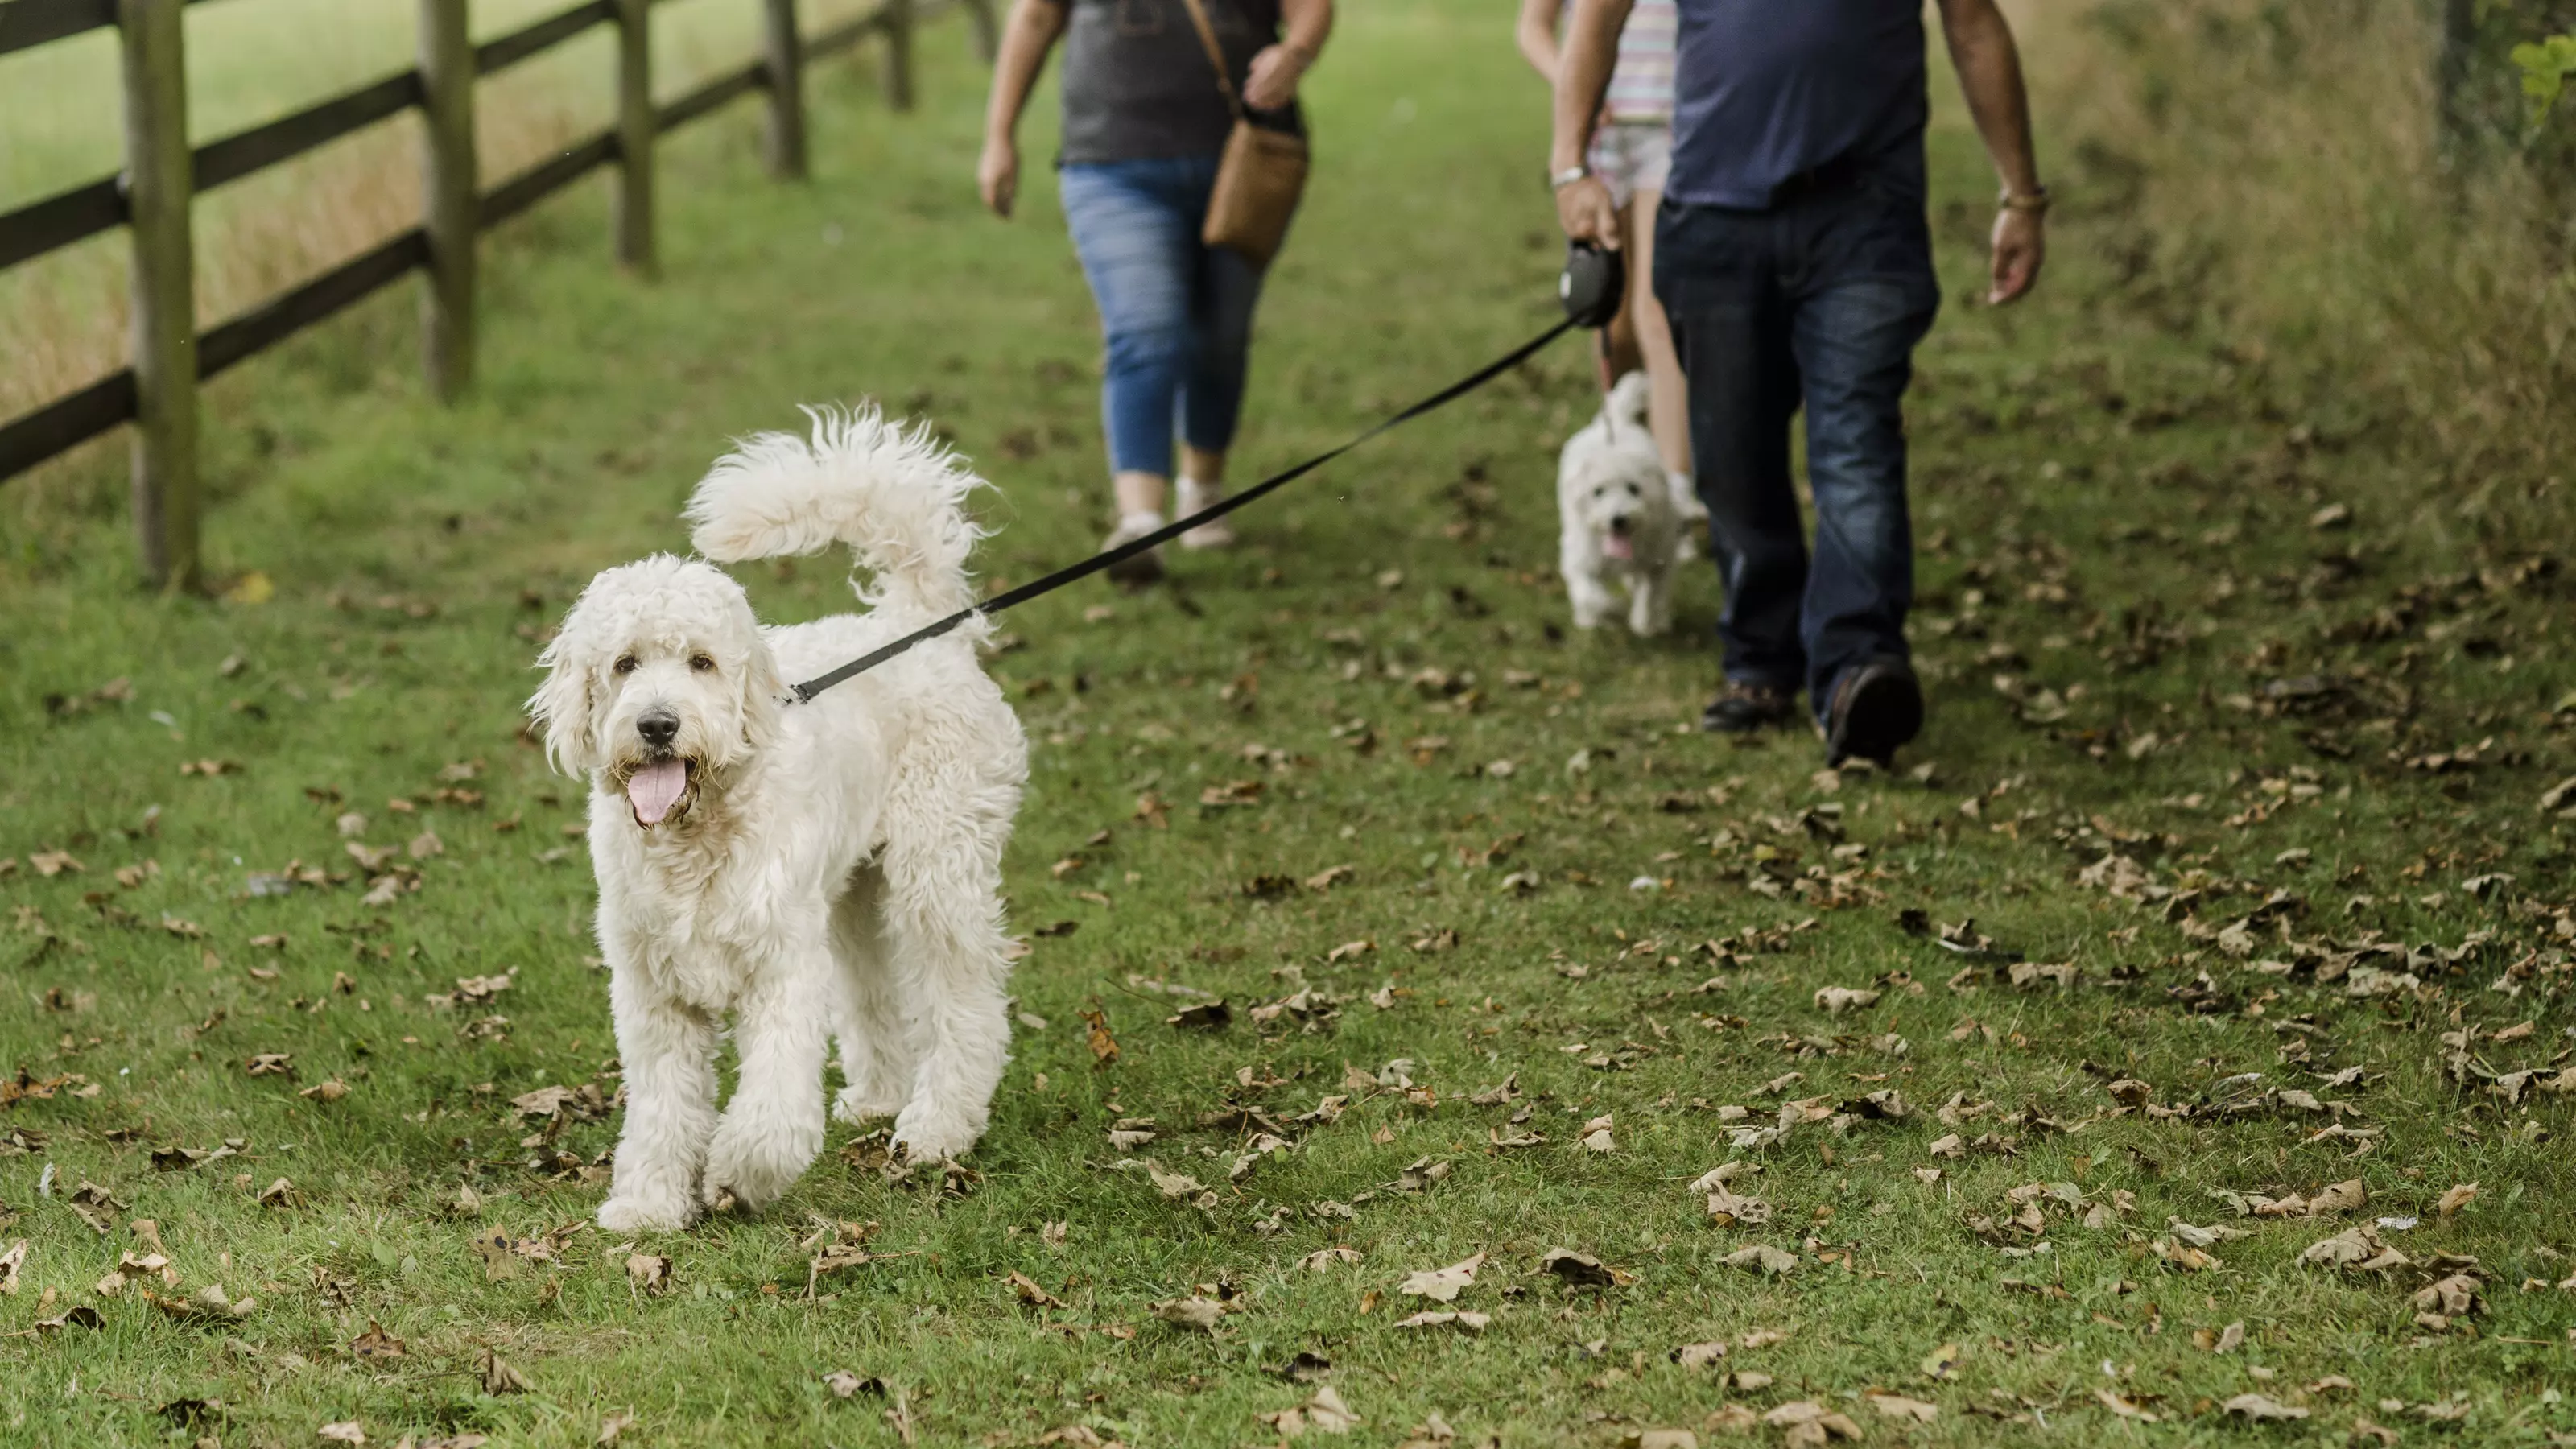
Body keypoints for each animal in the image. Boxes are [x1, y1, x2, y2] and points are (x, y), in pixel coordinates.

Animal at [530, 407, 1025, 1227]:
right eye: (625, 663)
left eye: (701, 662)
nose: (657, 725)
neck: (697, 836)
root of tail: (921, 621)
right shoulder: (653, 993)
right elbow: (662, 1108)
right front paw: (648, 1203)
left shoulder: (781, 969)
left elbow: (771, 1106)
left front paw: (740, 1175)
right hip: (852, 896)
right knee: (872, 991)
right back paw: (880, 1096)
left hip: (937, 873)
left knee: (966, 1002)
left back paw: (937, 1126)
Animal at [1546, 365, 1690, 631]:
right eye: (1598, 491)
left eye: (1634, 489)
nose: (1618, 519)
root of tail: (1617, 424)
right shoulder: (1579, 560)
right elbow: (1591, 595)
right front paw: (1611, 611)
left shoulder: (1661, 557)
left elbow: (1652, 593)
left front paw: (1645, 621)